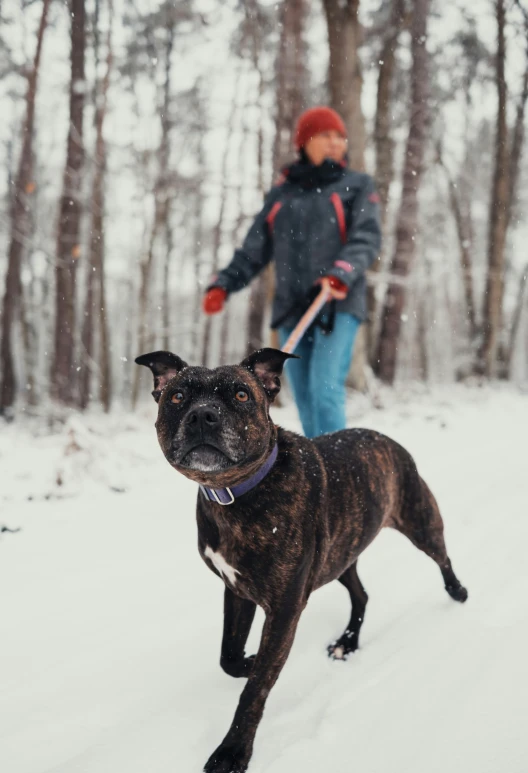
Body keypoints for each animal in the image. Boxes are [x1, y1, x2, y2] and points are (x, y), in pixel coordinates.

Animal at [135, 348, 466, 772]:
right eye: (177, 397)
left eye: (241, 394)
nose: (202, 415)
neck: (235, 495)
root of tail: (383, 438)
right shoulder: (236, 591)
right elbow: (229, 656)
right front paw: (250, 660)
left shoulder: (284, 608)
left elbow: (256, 688)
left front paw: (233, 750)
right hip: (339, 557)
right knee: (361, 594)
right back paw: (347, 642)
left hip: (419, 520)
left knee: (442, 556)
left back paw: (457, 592)